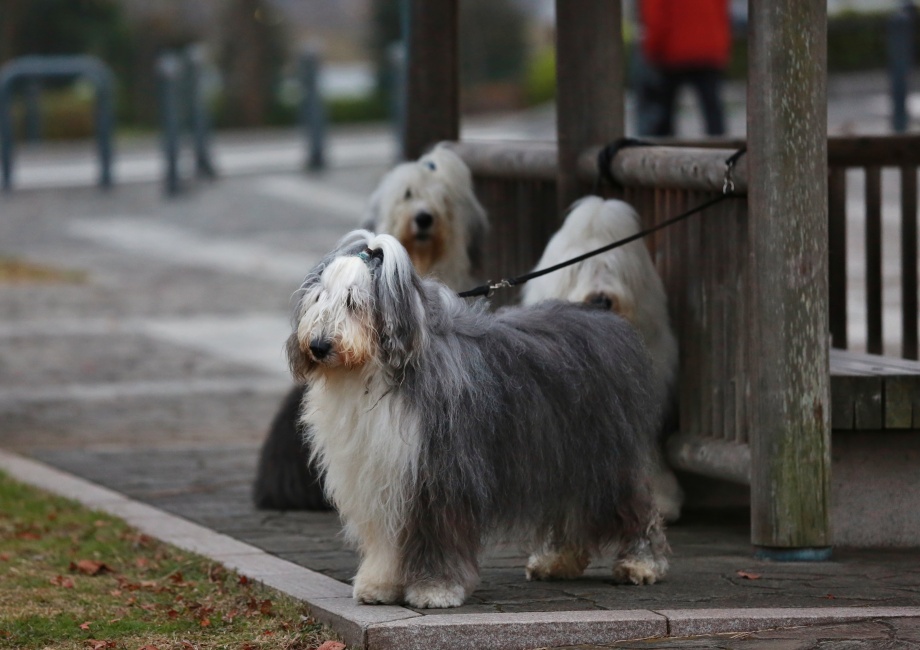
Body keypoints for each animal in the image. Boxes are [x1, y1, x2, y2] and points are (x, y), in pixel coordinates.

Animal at [286, 230, 670, 609]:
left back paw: (641, 563)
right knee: (573, 508)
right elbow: (385, 538)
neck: (377, 372)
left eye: (353, 302)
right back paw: (558, 561)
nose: (318, 346)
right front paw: (379, 584)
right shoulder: (382, 475)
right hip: (564, 456)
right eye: (319, 298)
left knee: (631, 504)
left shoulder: (440, 476)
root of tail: (603, 317)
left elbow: (438, 536)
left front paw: (435, 589)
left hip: (603, 455)